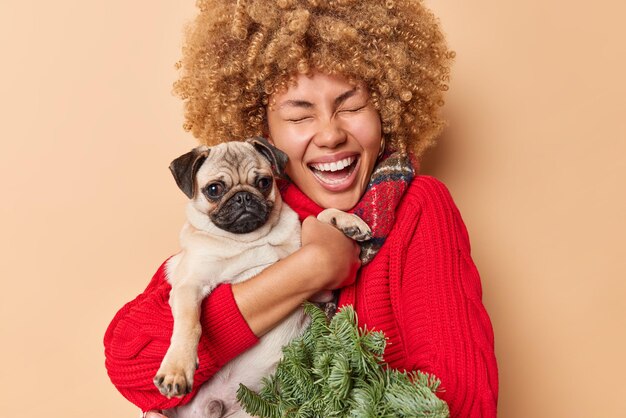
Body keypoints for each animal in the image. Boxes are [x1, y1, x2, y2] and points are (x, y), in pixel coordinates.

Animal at [155, 138, 370, 418]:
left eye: (264, 182)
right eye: (214, 189)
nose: (243, 196)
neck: (247, 240)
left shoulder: (317, 285)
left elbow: (318, 217)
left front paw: (344, 220)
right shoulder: (188, 286)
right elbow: (189, 324)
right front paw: (177, 369)